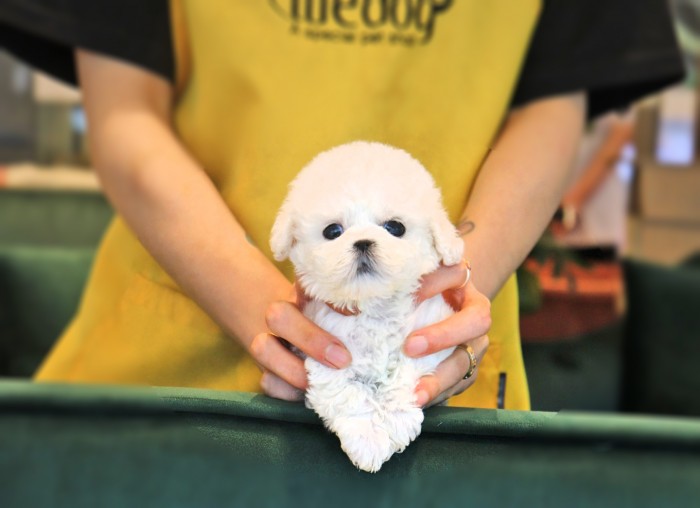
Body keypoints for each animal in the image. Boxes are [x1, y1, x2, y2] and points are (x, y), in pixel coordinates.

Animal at [270, 141, 463, 472]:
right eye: (333, 231)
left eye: (395, 227)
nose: (362, 242)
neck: (374, 307)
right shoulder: (324, 350)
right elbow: (347, 393)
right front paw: (368, 440)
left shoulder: (429, 334)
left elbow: (404, 371)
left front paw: (396, 421)